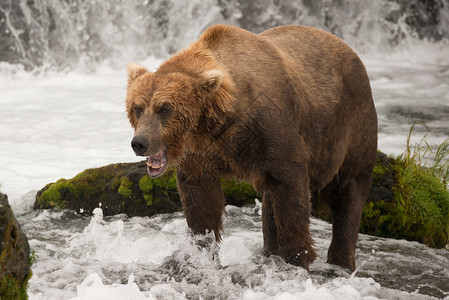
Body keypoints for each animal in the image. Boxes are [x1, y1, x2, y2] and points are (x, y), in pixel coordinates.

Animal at [126, 24, 378, 270]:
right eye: (137, 107)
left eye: (164, 109)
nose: (140, 143)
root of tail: (348, 48)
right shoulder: (201, 152)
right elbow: (200, 200)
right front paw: (197, 253)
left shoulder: (272, 130)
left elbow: (292, 190)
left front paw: (296, 258)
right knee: (270, 205)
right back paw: (269, 253)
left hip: (352, 127)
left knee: (348, 191)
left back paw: (341, 261)